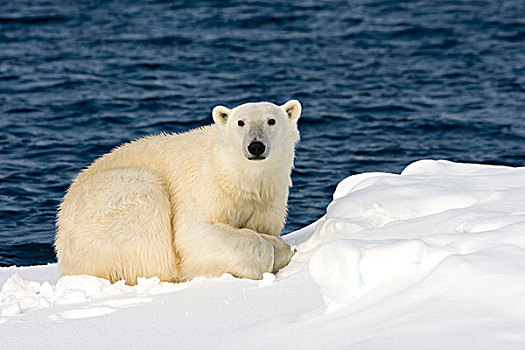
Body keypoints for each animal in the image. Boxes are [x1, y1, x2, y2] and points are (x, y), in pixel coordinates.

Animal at [55, 99, 300, 284]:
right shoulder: (204, 190)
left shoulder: (269, 197)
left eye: (271, 120)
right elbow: (192, 235)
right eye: (241, 122)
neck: (240, 178)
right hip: (115, 203)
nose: (256, 146)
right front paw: (267, 249)